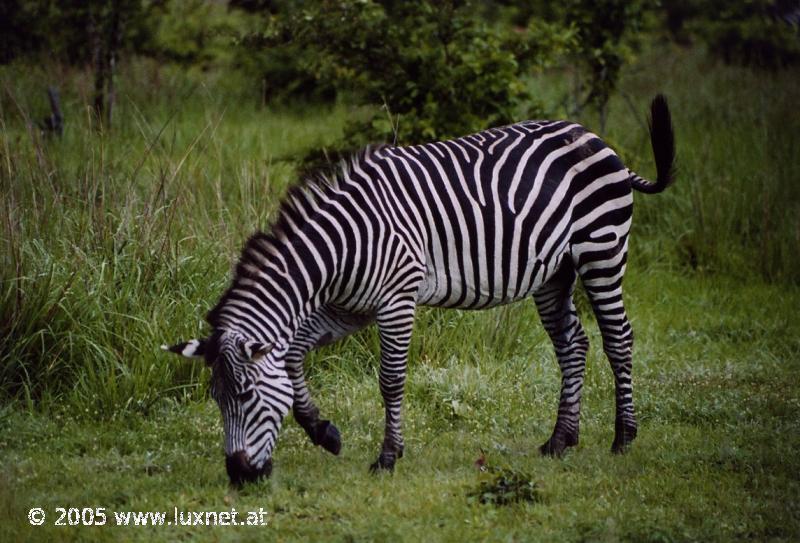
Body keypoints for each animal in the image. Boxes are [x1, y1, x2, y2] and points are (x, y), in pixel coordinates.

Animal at [162, 93, 676, 484]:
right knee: (573, 345)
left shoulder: (396, 301)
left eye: (246, 397)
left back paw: (623, 437)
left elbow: (390, 380)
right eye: (217, 401)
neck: (342, 245)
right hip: (555, 273)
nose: (238, 475)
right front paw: (324, 432)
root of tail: (597, 140)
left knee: (618, 339)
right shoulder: (347, 309)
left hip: (601, 250)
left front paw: (388, 457)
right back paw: (560, 440)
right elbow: (292, 356)